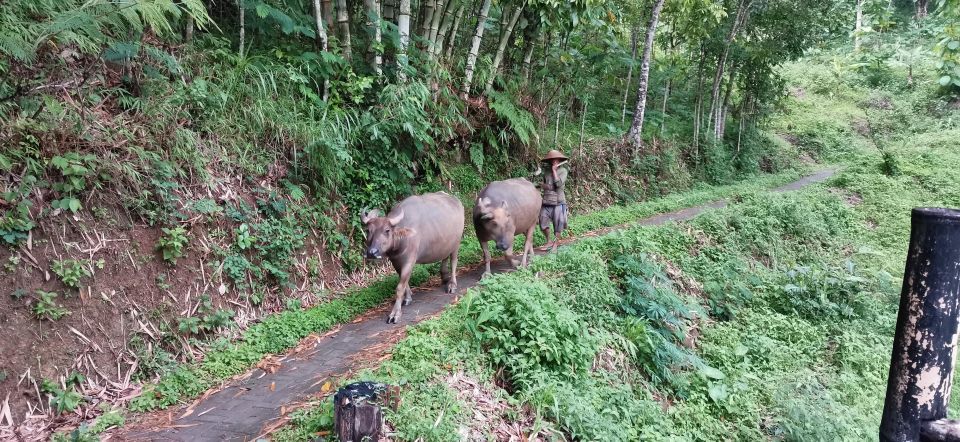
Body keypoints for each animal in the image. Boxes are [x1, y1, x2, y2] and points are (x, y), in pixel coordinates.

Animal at [360, 192, 464, 322]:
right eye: (368, 230)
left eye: (387, 230)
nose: (371, 252)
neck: (402, 238)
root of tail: (456, 201)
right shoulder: (396, 261)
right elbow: (404, 282)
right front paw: (407, 298)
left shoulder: (410, 260)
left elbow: (400, 287)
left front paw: (395, 313)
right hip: (446, 243)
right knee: (445, 257)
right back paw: (444, 277)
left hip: (456, 243)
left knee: (453, 262)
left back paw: (452, 284)